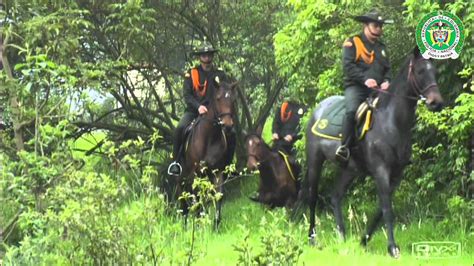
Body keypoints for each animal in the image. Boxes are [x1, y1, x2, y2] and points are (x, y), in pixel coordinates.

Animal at [176, 80, 237, 228]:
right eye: (218, 98)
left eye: (233, 100)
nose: (228, 126)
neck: (210, 138)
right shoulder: (197, 173)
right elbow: (198, 197)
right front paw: (198, 224)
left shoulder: (218, 171)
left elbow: (218, 196)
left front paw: (216, 224)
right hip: (183, 177)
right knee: (183, 198)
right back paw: (185, 224)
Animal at [304, 47, 444, 258]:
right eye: (420, 72)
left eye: (434, 72)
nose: (437, 102)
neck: (391, 122)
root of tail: (317, 109)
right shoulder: (381, 170)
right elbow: (387, 209)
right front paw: (392, 248)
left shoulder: (396, 175)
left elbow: (380, 210)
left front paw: (363, 240)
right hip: (315, 161)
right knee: (312, 198)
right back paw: (313, 238)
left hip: (349, 170)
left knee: (335, 196)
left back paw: (342, 236)